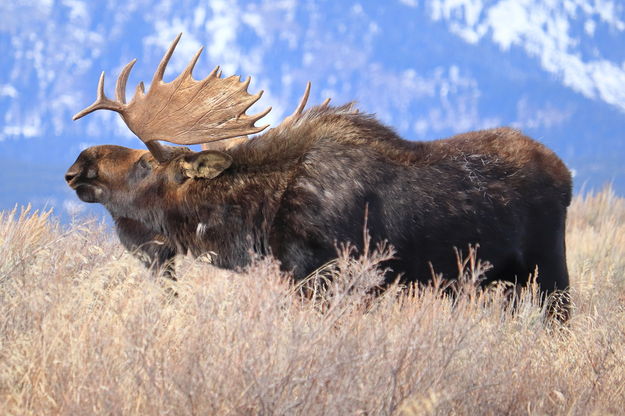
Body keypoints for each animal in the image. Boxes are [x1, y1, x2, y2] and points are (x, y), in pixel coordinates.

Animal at [67, 34, 572, 320]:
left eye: (144, 165)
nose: (79, 164)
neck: (255, 221)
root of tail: (565, 170)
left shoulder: (334, 280)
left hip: (549, 271)